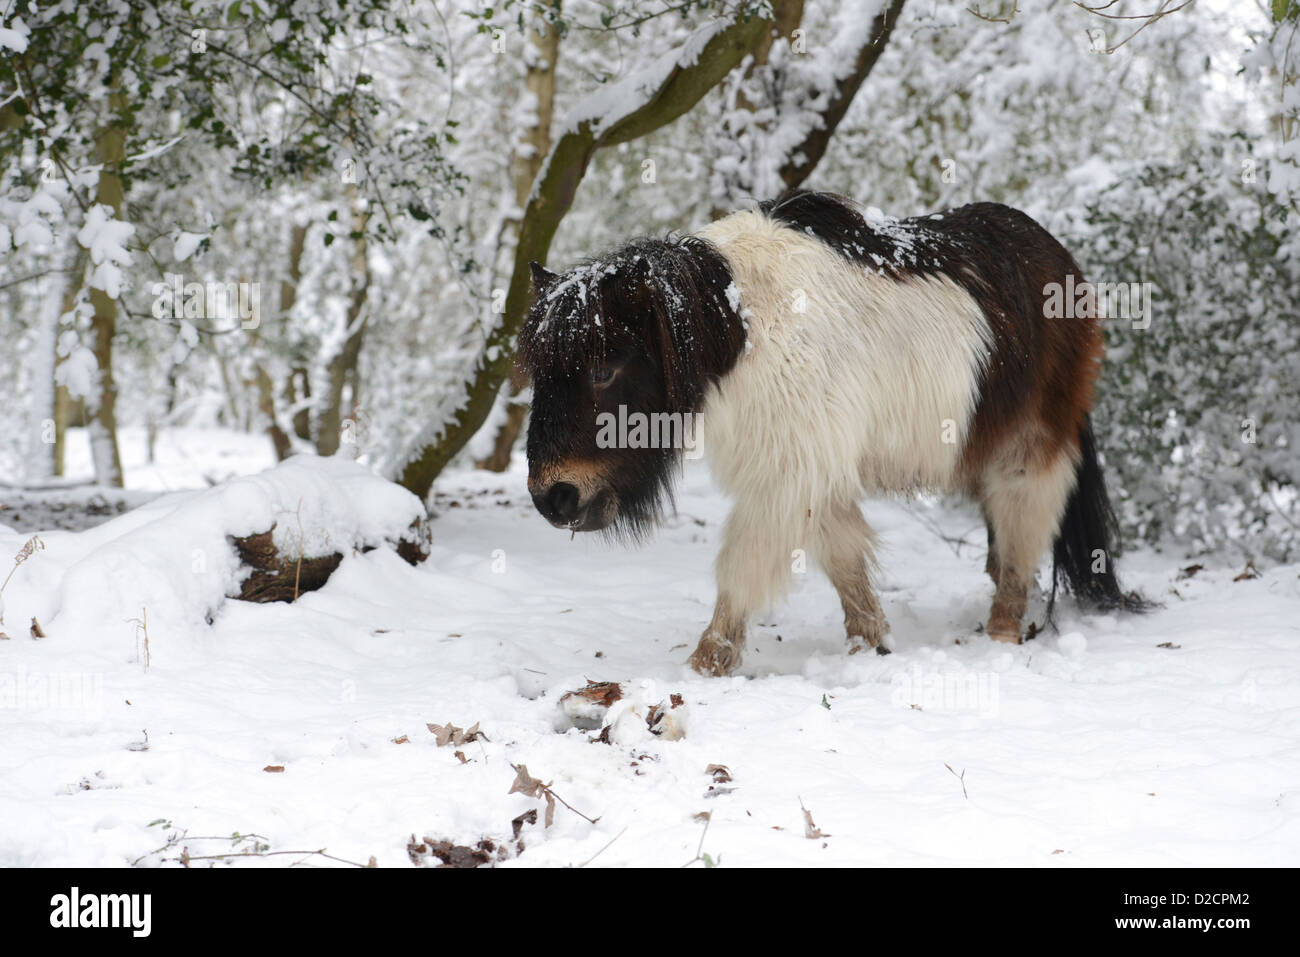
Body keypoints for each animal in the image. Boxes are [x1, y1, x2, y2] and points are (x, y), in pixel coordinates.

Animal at [519, 189, 1146, 676]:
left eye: (604, 369)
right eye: (540, 374)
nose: (554, 498)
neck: (744, 327)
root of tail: (1058, 260)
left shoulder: (789, 473)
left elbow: (743, 566)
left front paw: (704, 666)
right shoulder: (816, 469)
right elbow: (845, 560)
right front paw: (870, 645)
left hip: (1025, 450)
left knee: (1019, 542)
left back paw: (1001, 638)